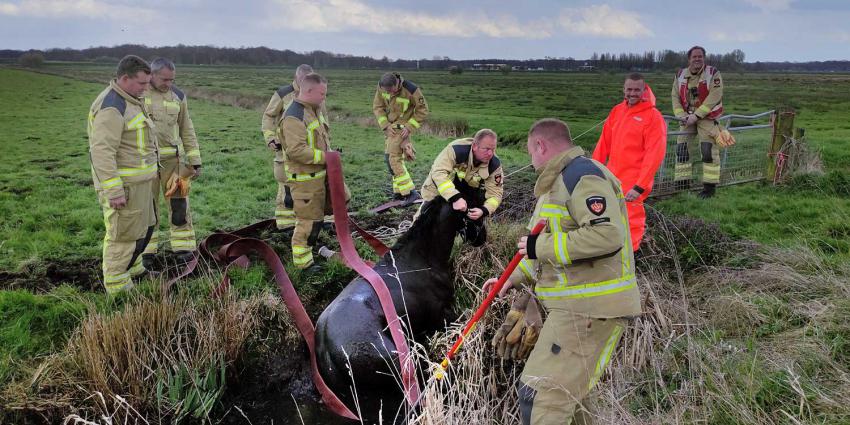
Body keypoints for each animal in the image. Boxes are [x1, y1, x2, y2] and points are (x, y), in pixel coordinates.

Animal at [314, 190, 486, 420]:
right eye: (476, 203)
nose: (482, 237)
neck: (421, 259)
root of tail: (327, 349)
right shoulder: (445, 315)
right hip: (404, 363)